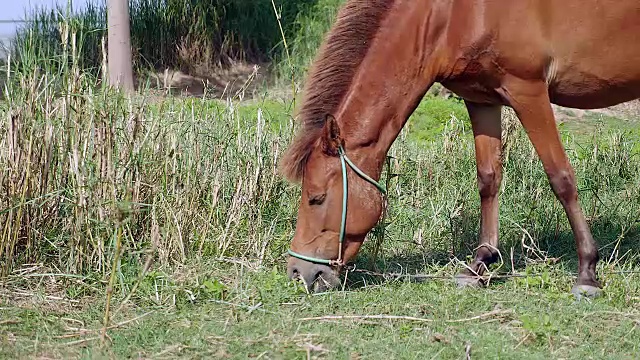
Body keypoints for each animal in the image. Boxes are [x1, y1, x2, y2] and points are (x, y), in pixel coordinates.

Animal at [282, 0, 640, 296]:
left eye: (316, 198)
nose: (299, 272)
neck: (452, 12)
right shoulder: (481, 98)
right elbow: (488, 178)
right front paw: (480, 262)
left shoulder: (528, 91)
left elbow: (561, 178)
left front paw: (587, 272)